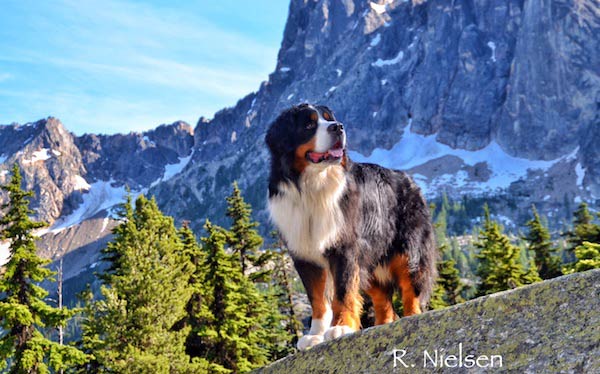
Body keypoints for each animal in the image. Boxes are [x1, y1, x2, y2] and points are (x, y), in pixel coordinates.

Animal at [268, 103, 436, 350]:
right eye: (308, 124)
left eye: (329, 118)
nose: (338, 127)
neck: (312, 186)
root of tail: (409, 180)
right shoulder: (304, 256)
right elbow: (318, 299)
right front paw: (315, 335)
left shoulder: (343, 248)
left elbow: (343, 292)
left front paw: (341, 327)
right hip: (370, 262)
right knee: (383, 299)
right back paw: (380, 326)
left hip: (408, 249)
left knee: (410, 286)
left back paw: (412, 317)